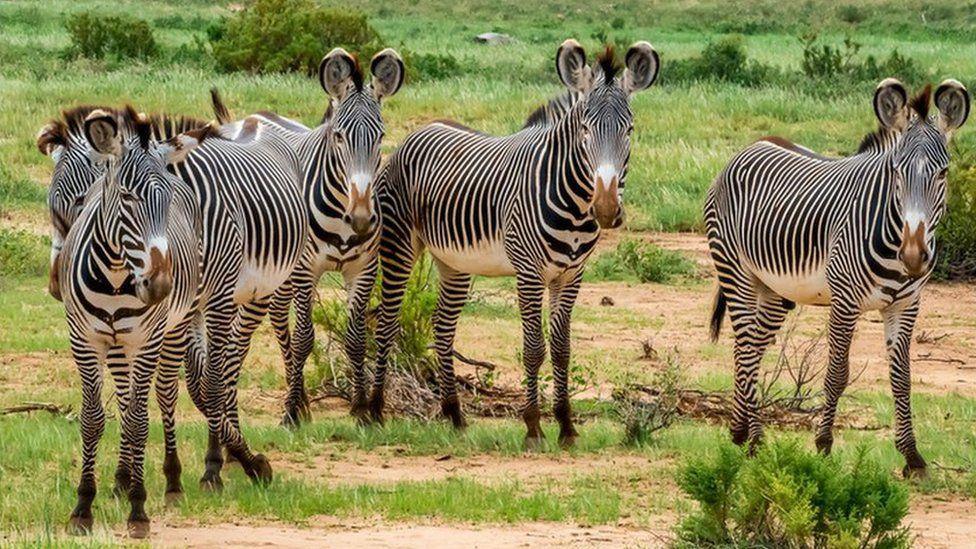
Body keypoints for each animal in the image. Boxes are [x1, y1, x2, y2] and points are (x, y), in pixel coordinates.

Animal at [37, 106, 217, 497]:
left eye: (167, 201)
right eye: (127, 197)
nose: (160, 285)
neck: (116, 275)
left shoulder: (147, 337)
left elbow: (142, 410)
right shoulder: (87, 338)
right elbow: (106, 411)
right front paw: (111, 483)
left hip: (177, 325)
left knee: (168, 392)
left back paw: (175, 476)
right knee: (126, 395)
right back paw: (123, 474)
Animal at [210, 48, 404, 425]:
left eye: (381, 136)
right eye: (339, 136)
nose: (361, 218)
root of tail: (251, 117)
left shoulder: (363, 268)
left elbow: (356, 337)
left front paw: (361, 409)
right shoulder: (305, 269)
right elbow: (304, 337)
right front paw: (289, 413)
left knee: (270, 318)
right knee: (257, 328)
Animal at [368, 40, 659, 446]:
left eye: (629, 130)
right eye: (585, 130)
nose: (605, 208)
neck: (572, 202)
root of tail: (419, 131)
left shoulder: (571, 275)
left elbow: (562, 349)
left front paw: (566, 426)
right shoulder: (529, 272)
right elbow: (534, 348)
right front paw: (533, 426)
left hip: (454, 262)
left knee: (443, 328)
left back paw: (454, 415)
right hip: (400, 245)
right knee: (387, 322)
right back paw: (375, 411)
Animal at [705, 78, 970, 477]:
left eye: (943, 173)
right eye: (896, 172)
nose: (913, 256)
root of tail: (752, 145)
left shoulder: (906, 304)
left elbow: (902, 378)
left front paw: (912, 456)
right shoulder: (845, 302)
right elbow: (837, 374)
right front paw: (824, 444)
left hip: (775, 290)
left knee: (749, 345)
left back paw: (740, 431)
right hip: (735, 271)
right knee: (748, 347)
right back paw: (755, 441)